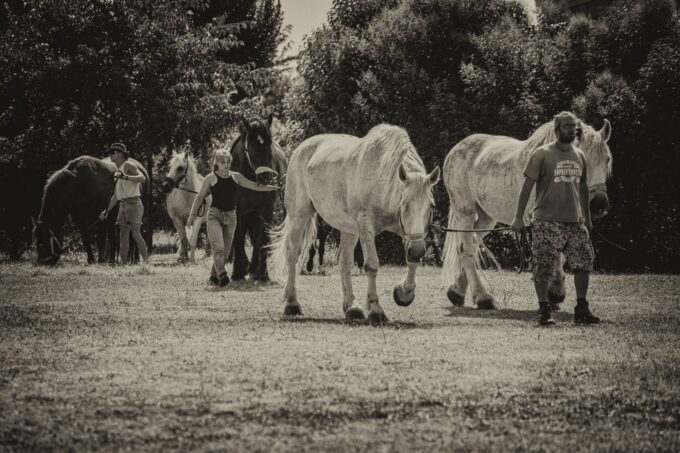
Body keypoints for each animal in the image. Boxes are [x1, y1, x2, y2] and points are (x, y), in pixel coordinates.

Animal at [230, 115, 286, 278]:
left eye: (269, 148)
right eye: (250, 148)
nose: (265, 178)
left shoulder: (266, 209)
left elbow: (262, 239)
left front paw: (263, 273)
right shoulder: (237, 210)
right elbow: (238, 238)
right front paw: (238, 272)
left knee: (257, 238)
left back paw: (254, 267)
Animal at [268, 123, 438, 324]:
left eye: (431, 206)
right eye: (405, 204)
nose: (419, 250)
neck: (382, 176)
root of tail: (300, 150)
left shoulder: (409, 234)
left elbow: (412, 261)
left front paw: (404, 293)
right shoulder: (366, 226)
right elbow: (371, 265)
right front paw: (376, 309)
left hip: (348, 229)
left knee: (344, 261)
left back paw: (352, 307)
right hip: (299, 215)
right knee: (293, 254)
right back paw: (292, 304)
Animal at [444, 116, 612, 308]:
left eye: (607, 159)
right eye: (584, 160)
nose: (598, 204)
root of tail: (455, 150)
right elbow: (552, 253)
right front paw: (556, 291)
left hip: (487, 217)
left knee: (472, 243)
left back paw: (456, 291)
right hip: (465, 211)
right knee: (466, 249)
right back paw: (483, 297)